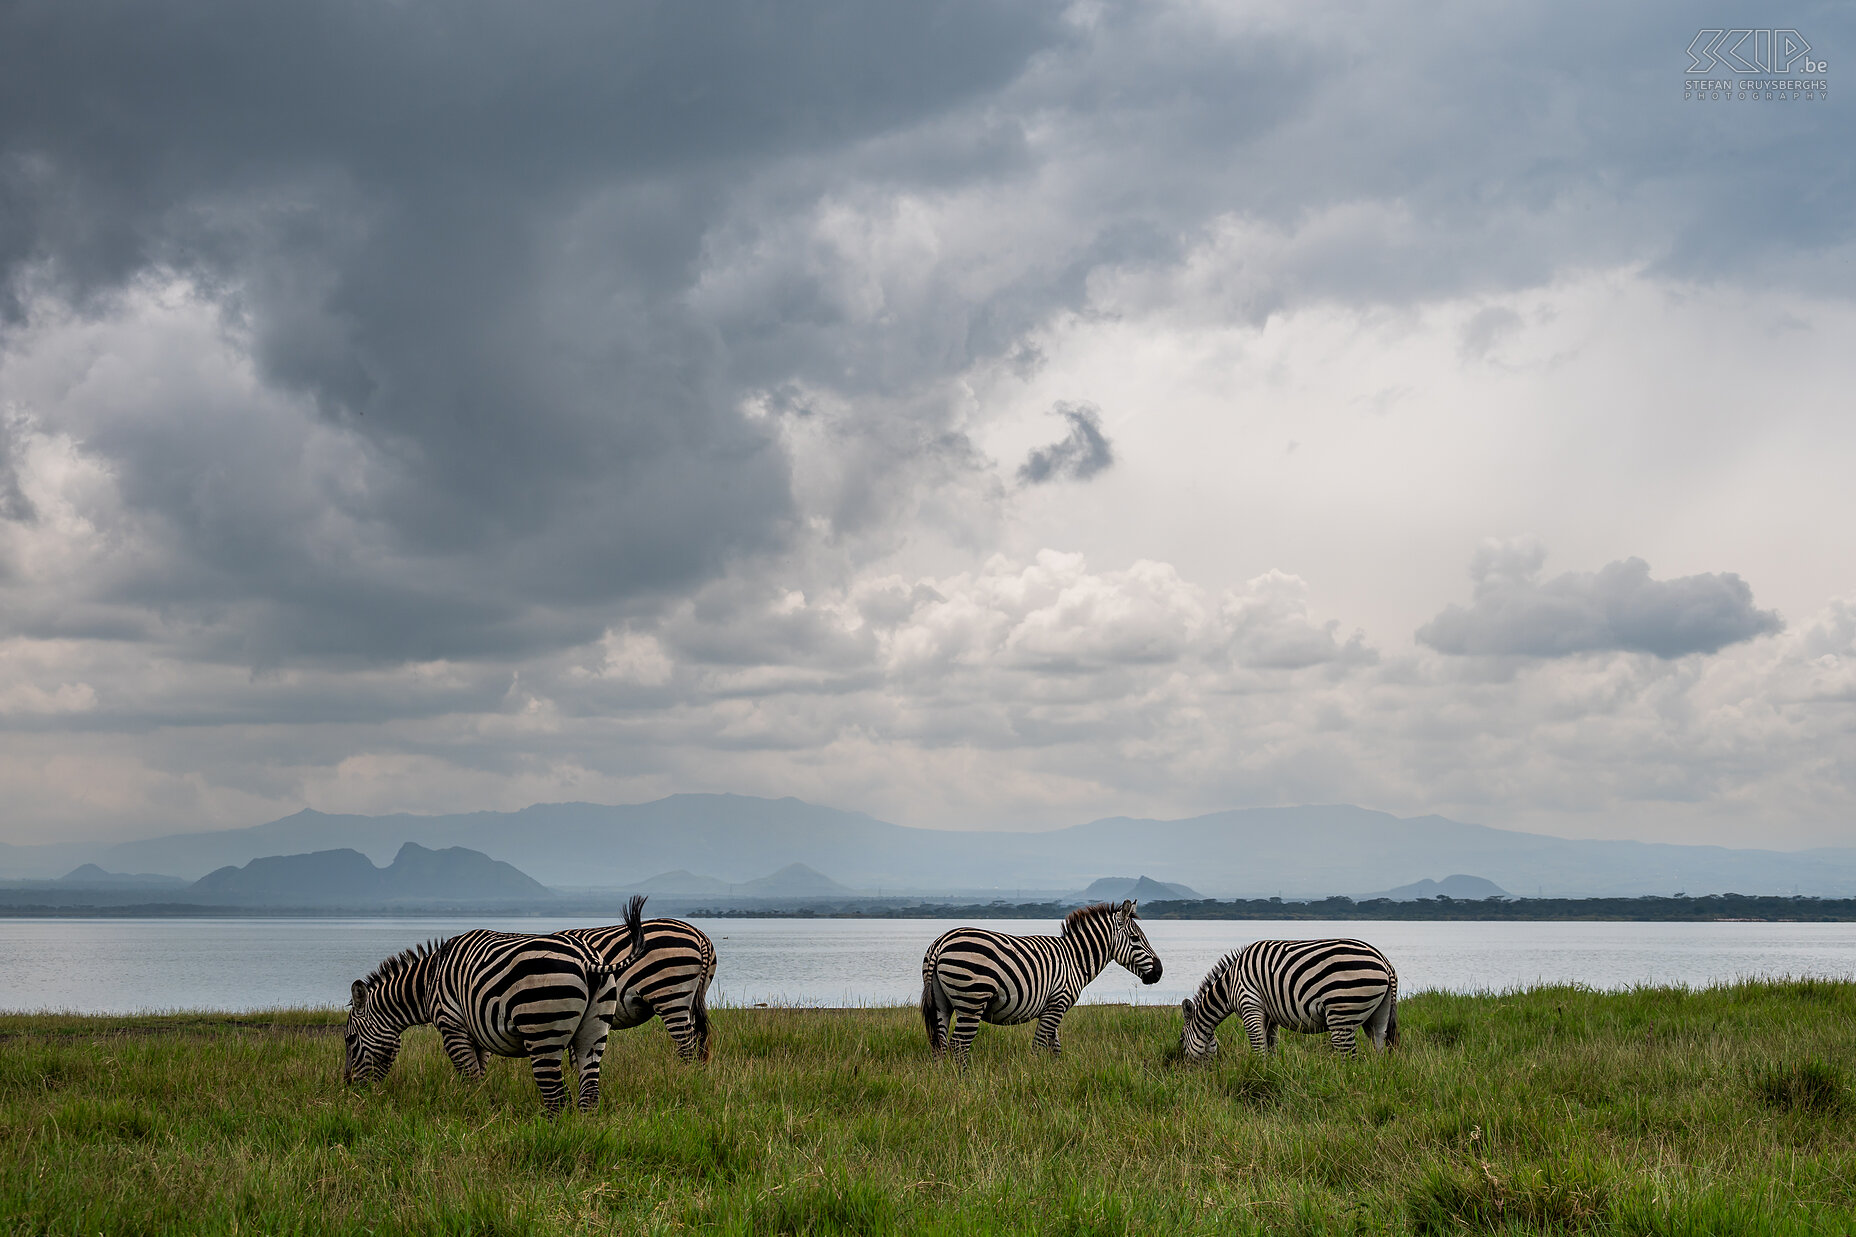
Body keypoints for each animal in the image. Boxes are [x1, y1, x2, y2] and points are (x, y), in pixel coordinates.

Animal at [345, 921, 642, 1114]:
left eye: (349, 1040)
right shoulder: (478, 1032)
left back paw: (553, 1140)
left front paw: (470, 1114)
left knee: (557, 1097)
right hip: (594, 1031)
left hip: (542, 1029)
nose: (351, 1089)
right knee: (588, 1095)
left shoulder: (452, 1026)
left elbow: (469, 1077)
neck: (429, 981)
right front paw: (479, 1108)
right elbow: (479, 1073)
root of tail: (586, 959)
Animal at [924, 895, 1165, 1062]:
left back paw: (944, 1083)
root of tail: (940, 943)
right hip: (971, 1001)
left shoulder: (1052, 1007)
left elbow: (1054, 1046)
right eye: (1135, 939)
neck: (1074, 959)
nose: (1159, 972)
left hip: (941, 1004)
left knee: (940, 1045)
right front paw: (1032, 1076)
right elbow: (1039, 1046)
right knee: (958, 1046)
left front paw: (1056, 1075)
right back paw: (963, 1083)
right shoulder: (1057, 1004)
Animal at [1180, 936, 1395, 1062]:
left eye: (1181, 1039)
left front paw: (1258, 1071)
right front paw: (1269, 1072)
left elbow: (1258, 1046)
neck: (1230, 984)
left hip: (1342, 1011)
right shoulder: (1269, 1015)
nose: (1184, 1070)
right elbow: (1270, 1045)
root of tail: (1384, 961)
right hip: (1378, 1015)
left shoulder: (1250, 1005)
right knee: (1379, 1044)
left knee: (1349, 1057)